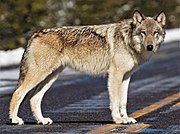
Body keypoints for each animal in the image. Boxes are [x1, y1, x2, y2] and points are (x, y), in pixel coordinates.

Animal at [8, 10, 166, 124]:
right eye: (143, 33)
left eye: (155, 33)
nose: (150, 47)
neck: (128, 41)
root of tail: (35, 34)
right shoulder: (115, 75)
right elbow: (115, 101)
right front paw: (118, 120)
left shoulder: (126, 76)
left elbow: (123, 101)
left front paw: (126, 118)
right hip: (39, 75)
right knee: (18, 93)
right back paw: (15, 120)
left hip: (50, 77)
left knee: (34, 98)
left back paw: (42, 120)